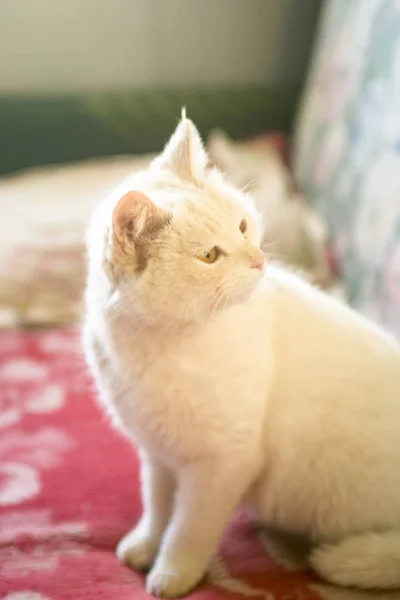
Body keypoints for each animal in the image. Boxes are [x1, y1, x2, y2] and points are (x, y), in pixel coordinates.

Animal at [83, 112, 400, 596]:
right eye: (209, 255)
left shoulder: (223, 464)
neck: (160, 343)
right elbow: (158, 507)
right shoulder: (158, 453)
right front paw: (145, 546)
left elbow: (188, 528)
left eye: (243, 227)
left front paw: (171, 573)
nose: (257, 260)